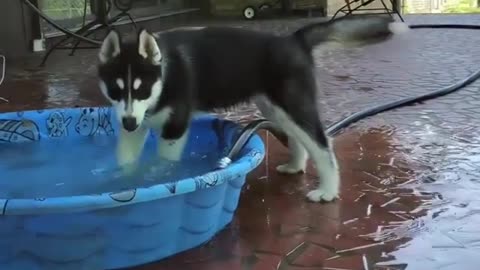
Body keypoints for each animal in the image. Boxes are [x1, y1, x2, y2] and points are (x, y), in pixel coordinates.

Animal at [97, 14, 408, 200]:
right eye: (116, 90)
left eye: (141, 89)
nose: (128, 122)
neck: (166, 73)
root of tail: (292, 39)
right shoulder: (135, 127)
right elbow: (126, 161)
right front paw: (124, 182)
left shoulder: (175, 126)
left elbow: (166, 164)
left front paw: (162, 181)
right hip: (275, 108)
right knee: (298, 139)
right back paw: (295, 166)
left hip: (293, 104)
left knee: (322, 144)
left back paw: (328, 191)